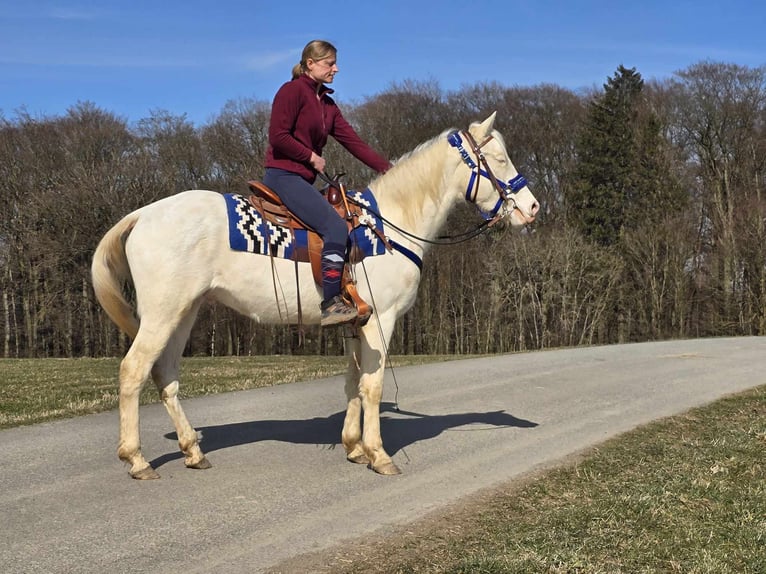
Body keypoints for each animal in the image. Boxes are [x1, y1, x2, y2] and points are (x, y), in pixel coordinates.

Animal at [91, 110, 540, 480]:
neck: (389, 224)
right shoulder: (381, 319)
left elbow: (354, 382)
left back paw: (192, 450)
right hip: (162, 314)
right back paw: (137, 459)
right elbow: (373, 386)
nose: (533, 207)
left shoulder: (358, 323)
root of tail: (143, 214)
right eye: (499, 159)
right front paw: (379, 454)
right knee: (133, 371)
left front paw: (354, 447)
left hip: (184, 312)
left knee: (165, 375)